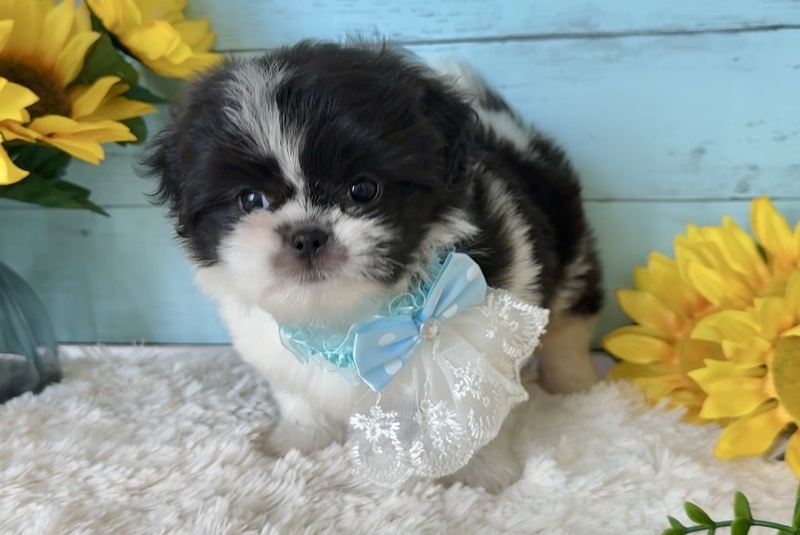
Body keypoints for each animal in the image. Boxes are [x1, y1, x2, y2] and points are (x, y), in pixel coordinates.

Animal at [144, 40, 603, 493]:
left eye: (363, 190)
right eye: (250, 199)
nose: (307, 236)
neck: (349, 322)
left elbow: (470, 415)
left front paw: (479, 474)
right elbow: (299, 397)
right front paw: (300, 438)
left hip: (571, 245)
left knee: (570, 318)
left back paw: (574, 386)